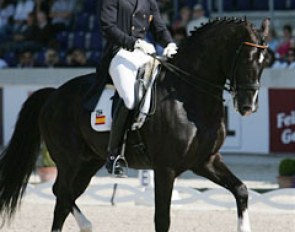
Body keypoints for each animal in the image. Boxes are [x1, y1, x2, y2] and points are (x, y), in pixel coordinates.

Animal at [0, 18, 270, 232]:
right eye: (246, 58)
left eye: (265, 61)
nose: (248, 106)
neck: (188, 96)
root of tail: (53, 94)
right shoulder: (165, 168)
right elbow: (162, 220)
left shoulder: (206, 161)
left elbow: (241, 190)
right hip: (69, 161)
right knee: (62, 194)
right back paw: (87, 225)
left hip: (89, 162)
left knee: (64, 195)